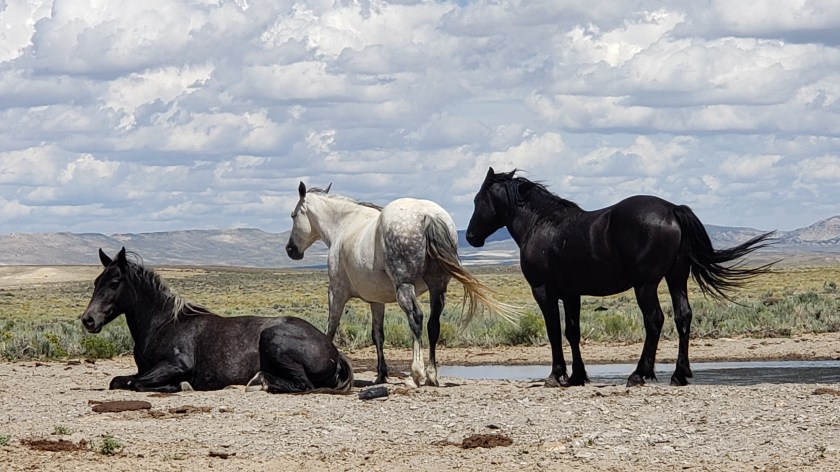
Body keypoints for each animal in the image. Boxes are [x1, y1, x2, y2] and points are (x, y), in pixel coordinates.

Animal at [80, 247, 354, 394]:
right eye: (96, 282)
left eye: (114, 283)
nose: (88, 320)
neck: (162, 325)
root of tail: (335, 352)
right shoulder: (143, 369)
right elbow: (119, 381)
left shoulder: (175, 365)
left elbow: (137, 384)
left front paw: (179, 386)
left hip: (273, 338)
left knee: (302, 384)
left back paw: (260, 382)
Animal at [285, 182, 512, 388]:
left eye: (293, 215)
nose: (290, 250)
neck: (343, 225)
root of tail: (428, 215)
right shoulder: (376, 302)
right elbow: (378, 335)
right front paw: (381, 374)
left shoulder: (336, 292)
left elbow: (331, 328)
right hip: (438, 288)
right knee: (433, 324)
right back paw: (431, 375)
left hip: (404, 287)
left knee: (416, 319)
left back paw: (416, 374)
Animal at [465, 167, 774, 387]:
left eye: (478, 200)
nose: (470, 237)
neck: (542, 225)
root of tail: (672, 210)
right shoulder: (572, 294)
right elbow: (572, 332)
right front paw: (577, 377)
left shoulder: (544, 291)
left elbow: (553, 331)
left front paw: (556, 376)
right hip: (676, 277)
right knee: (683, 316)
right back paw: (679, 374)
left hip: (646, 284)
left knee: (655, 320)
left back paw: (639, 374)